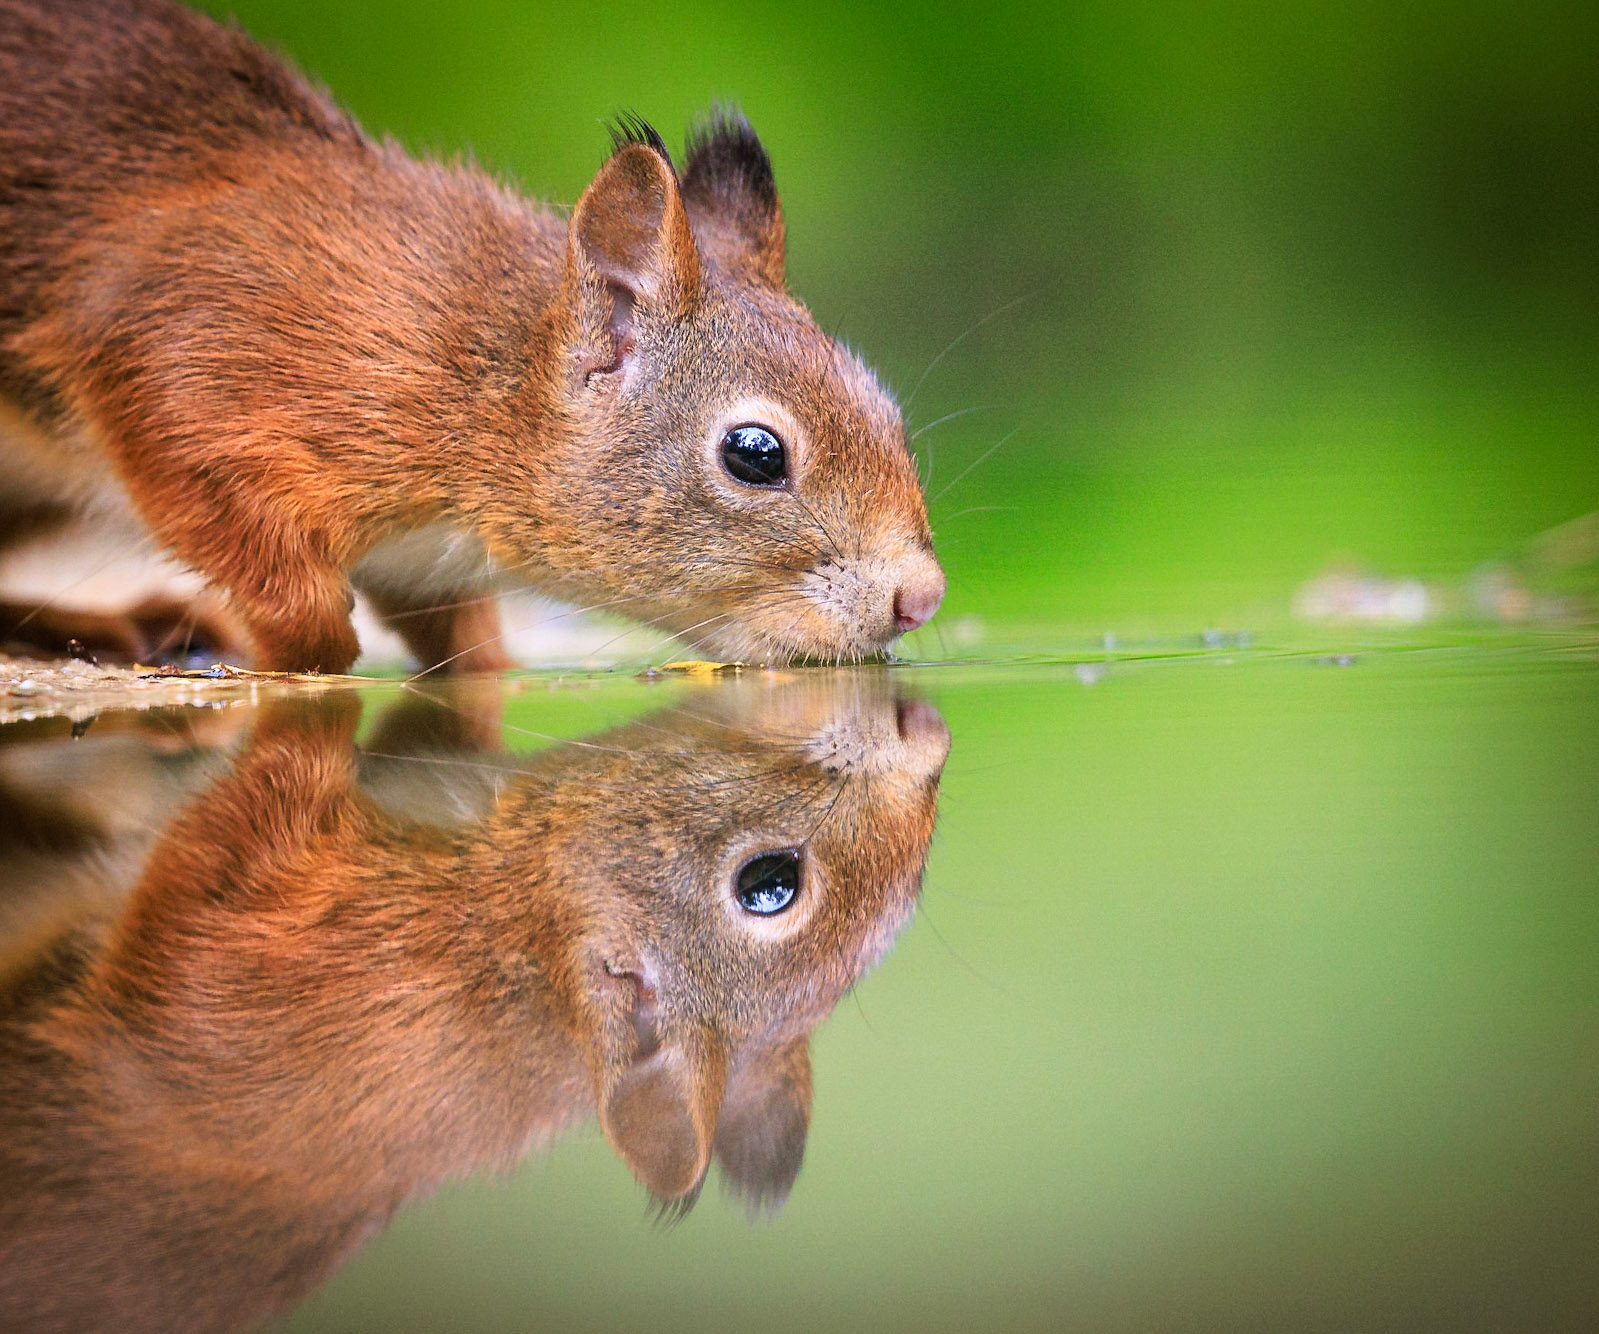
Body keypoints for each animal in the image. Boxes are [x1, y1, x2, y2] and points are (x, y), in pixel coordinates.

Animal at [0, 0, 945, 674]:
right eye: (754, 454)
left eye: (889, 413)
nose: (921, 599)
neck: (475, 371)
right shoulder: (191, 355)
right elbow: (289, 603)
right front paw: (290, 647)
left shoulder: (422, 563)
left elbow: (468, 653)